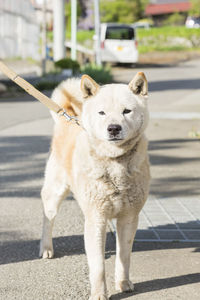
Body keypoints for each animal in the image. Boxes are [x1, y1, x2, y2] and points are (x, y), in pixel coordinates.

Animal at [39, 73, 150, 300]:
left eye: (126, 111)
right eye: (102, 112)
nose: (114, 128)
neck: (115, 164)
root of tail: (68, 117)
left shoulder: (129, 218)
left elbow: (124, 256)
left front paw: (123, 283)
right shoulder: (96, 218)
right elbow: (97, 265)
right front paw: (99, 293)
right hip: (55, 193)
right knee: (48, 218)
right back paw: (46, 247)